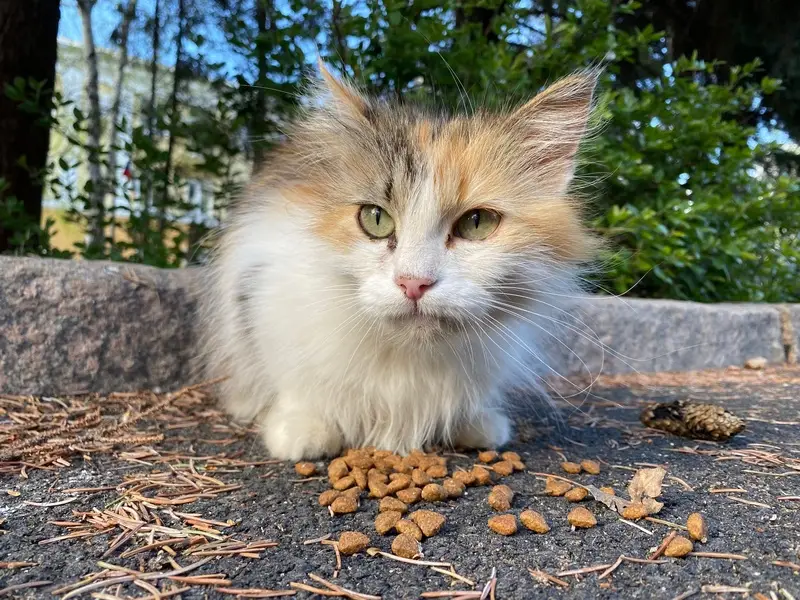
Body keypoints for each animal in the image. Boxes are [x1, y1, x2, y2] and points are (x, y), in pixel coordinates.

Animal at [199, 63, 599, 461]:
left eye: (477, 223)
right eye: (375, 218)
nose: (413, 283)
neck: (409, 354)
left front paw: (475, 425)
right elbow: (296, 384)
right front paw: (302, 430)